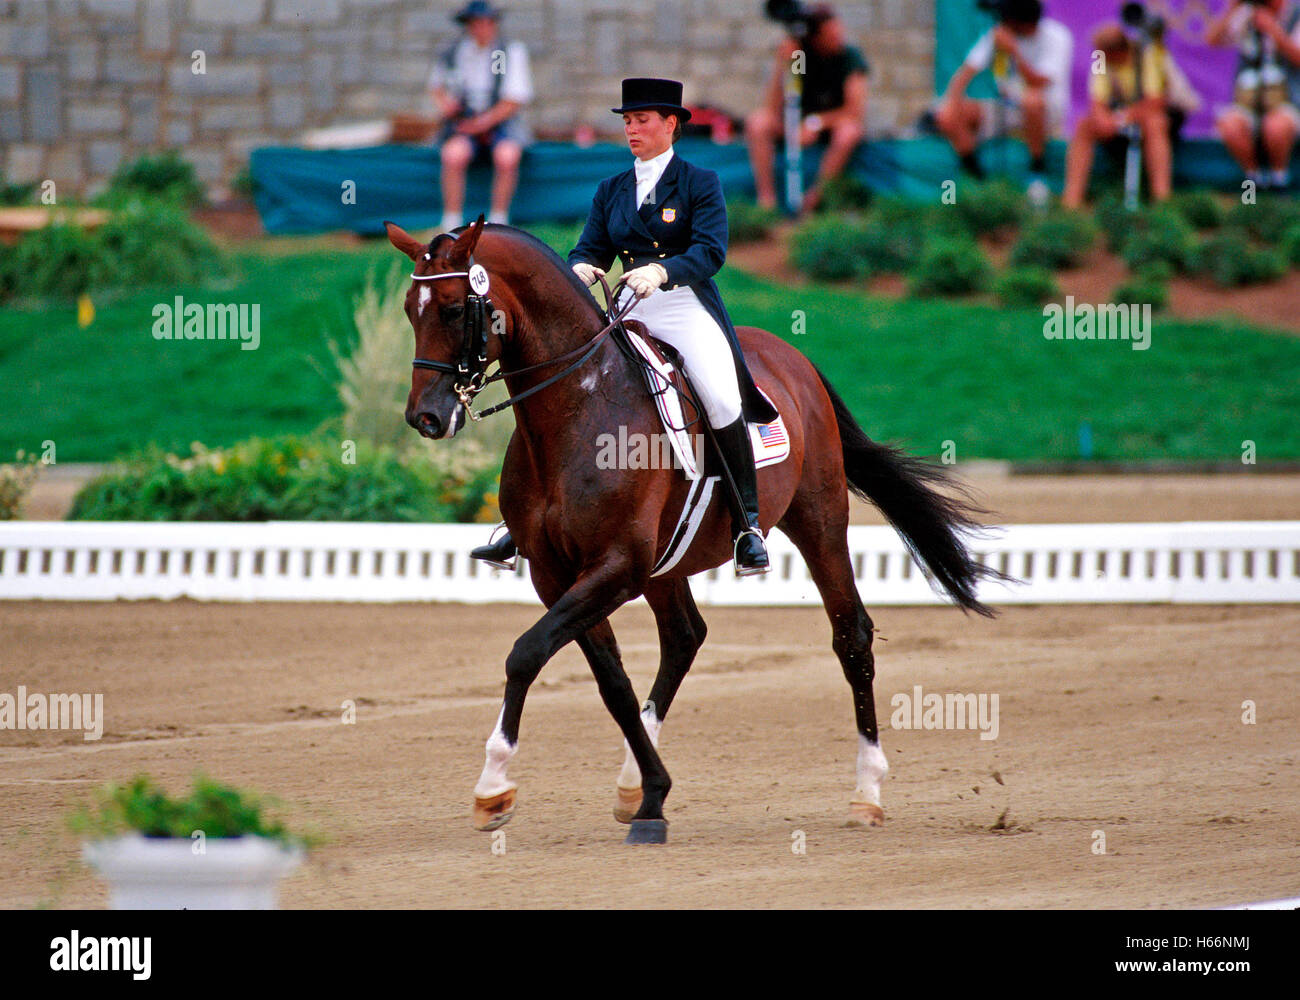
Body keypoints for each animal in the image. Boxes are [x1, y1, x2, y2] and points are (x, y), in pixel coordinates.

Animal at [382, 215, 993, 842]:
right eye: (410, 309)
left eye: (455, 308)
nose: (426, 418)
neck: (577, 409)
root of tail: (789, 356)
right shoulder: (560, 575)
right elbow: (611, 683)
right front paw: (650, 793)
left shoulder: (615, 567)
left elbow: (526, 653)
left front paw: (494, 786)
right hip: (666, 564)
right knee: (684, 637)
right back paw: (635, 784)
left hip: (818, 521)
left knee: (851, 636)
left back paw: (867, 791)